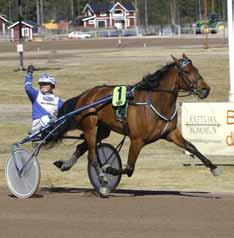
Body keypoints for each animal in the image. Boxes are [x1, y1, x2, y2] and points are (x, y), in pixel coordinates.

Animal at [54, 53, 220, 189]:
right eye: (186, 72)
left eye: (196, 69)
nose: (206, 89)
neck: (156, 102)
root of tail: (85, 94)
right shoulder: (137, 140)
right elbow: (129, 168)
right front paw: (108, 169)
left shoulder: (171, 133)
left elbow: (192, 147)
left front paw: (214, 168)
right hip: (90, 127)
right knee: (92, 156)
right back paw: (100, 175)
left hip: (102, 130)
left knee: (81, 147)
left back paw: (65, 165)